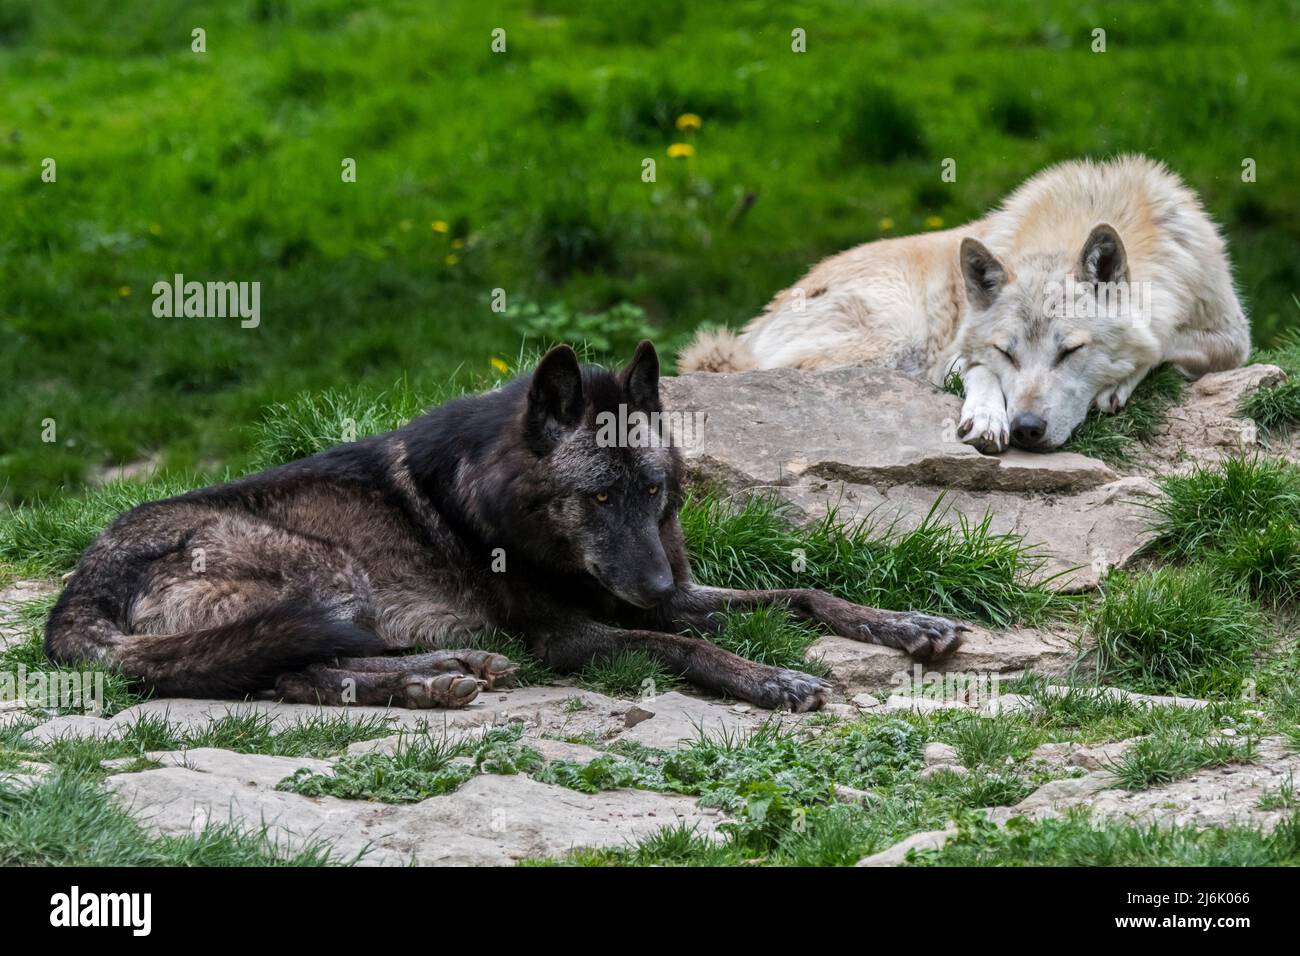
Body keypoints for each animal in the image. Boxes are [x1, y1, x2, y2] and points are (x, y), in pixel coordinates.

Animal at [45, 342, 967, 712]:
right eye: (599, 500)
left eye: (652, 491)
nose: (655, 582)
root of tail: (73, 593)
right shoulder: (575, 636)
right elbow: (681, 646)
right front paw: (769, 678)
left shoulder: (676, 590)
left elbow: (803, 593)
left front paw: (903, 623)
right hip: (330, 570)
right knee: (292, 671)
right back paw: (431, 682)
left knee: (299, 662)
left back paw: (451, 669)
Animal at [680, 155, 1250, 452]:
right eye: (1008, 352)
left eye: (1071, 351)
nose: (1026, 429)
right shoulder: (956, 355)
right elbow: (977, 373)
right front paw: (986, 417)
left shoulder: (1231, 338)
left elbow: (1162, 347)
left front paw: (1117, 384)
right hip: (892, 343)